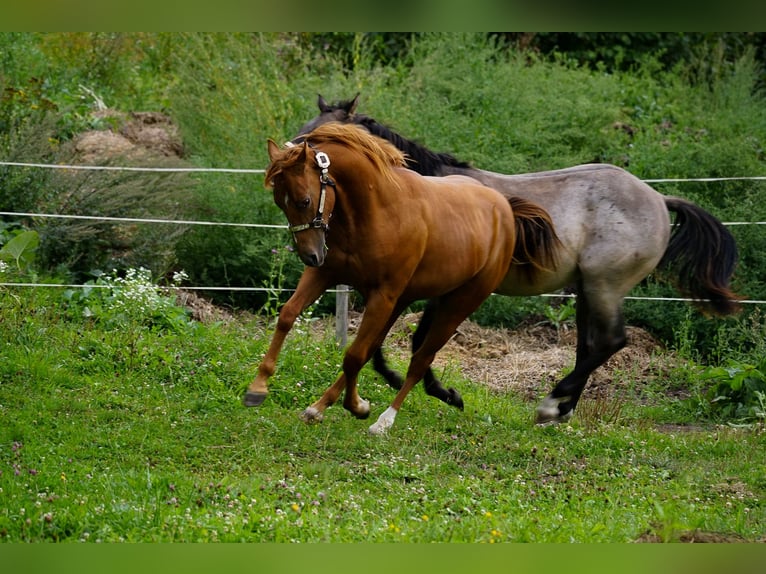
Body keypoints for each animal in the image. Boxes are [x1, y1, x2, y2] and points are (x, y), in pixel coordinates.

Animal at [243, 123, 560, 434]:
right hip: (405, 301)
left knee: (419, 360)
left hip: (457, 304)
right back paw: (320, 407)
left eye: (304, 200)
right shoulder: (326, 274)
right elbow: (288, 316)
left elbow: (354, 356)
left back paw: (385, 420)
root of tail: (505, 208)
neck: (376, 211)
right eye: (279, 202)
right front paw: (258, 389)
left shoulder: (382, 295)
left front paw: (357, 406)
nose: (310, 255)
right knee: (374, 349)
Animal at [297, 94, 742, 425]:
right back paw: (560, 411)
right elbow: (393, 342)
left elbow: (414, 341)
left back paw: (551, 403)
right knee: (590, 346)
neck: (420, 196)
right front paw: (417, 387)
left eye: (321, 142)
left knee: (611, 341)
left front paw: (442, 393)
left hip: (605, 286)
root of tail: (659, 200)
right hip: (587, 289)